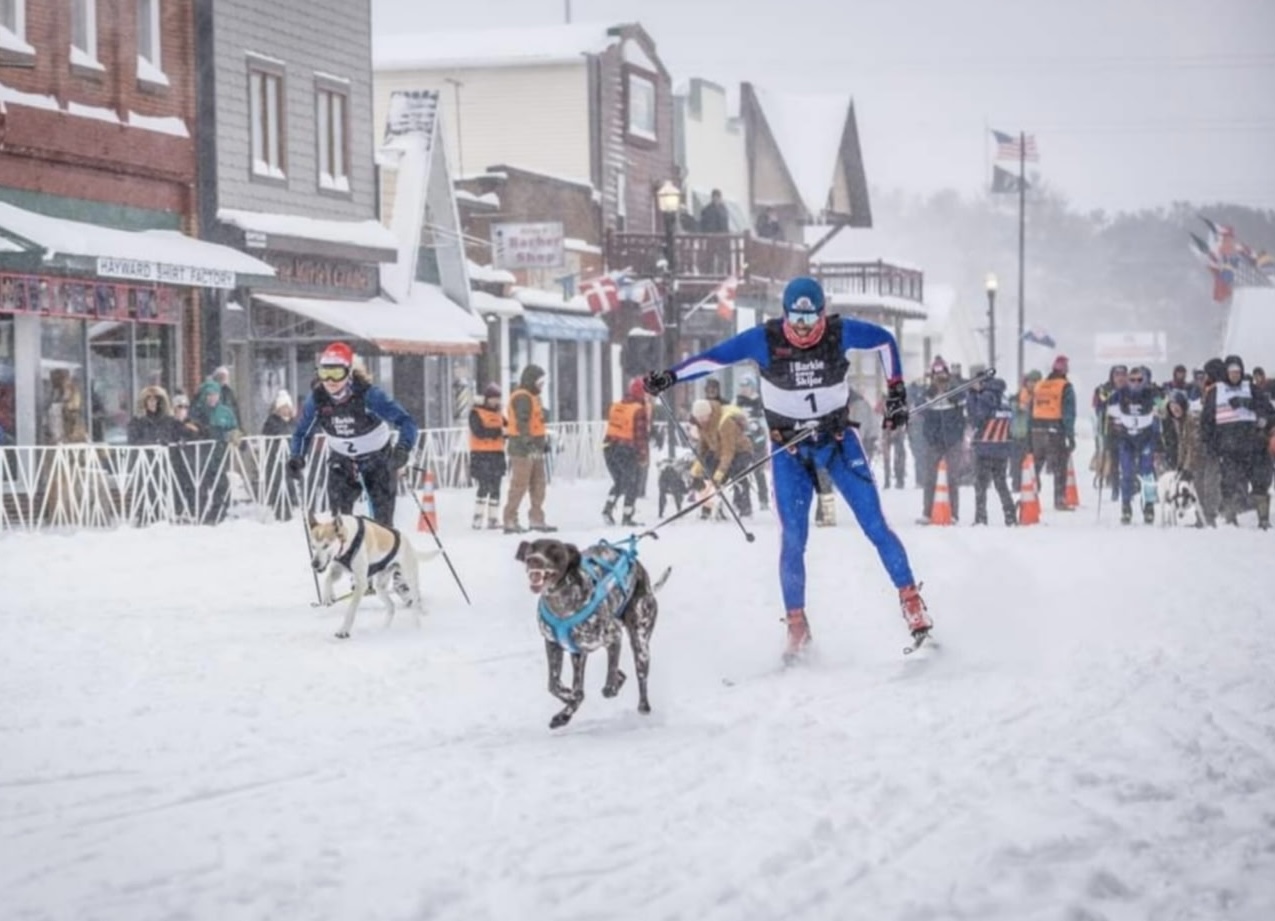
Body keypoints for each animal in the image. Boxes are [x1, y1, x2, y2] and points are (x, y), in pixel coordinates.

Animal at [306, 512, 436, 635]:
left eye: (326, 545)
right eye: (313, 546)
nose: (314, 564)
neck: (348, 539)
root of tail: (409, 545)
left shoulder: (361, 583)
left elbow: (351, 610)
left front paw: (343, 631)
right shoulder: (337, 570)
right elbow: (328, 579)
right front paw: (328, 596)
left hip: (409, 580)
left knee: (414, 605)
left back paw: (416, 626)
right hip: (380, 587)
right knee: (391, 607)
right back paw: (384, 630)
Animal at [512, 538, 668, 724]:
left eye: (554, 549)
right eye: (531, 549)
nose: (533, 559)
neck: (561, 604)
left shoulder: (614, 636)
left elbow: (610, 676)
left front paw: (609, 688)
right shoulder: (553, 644)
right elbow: (556, 686)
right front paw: (568, 702)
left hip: (640, 643)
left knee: (641, 676)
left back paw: (643, 706)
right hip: (578, 654)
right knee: (607, 678)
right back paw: (565, 714)